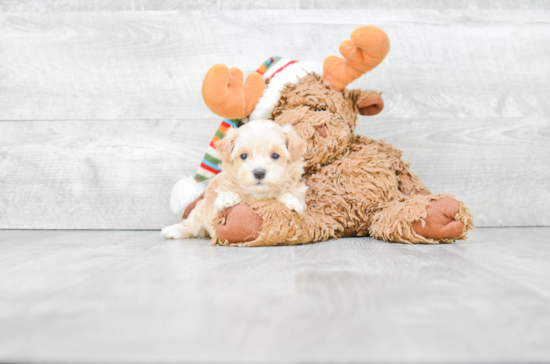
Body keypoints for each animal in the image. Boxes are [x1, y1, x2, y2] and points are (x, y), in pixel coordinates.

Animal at [162, 118, 308, 239]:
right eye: (243, 156)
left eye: (275, 155)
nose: (259, 172)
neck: (258, 194)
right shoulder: (213, 212)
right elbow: (216, 212)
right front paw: (227, 197)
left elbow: (293, 196)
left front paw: (292, 200)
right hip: (199, 212)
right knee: (192, 225)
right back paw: (173, 230)